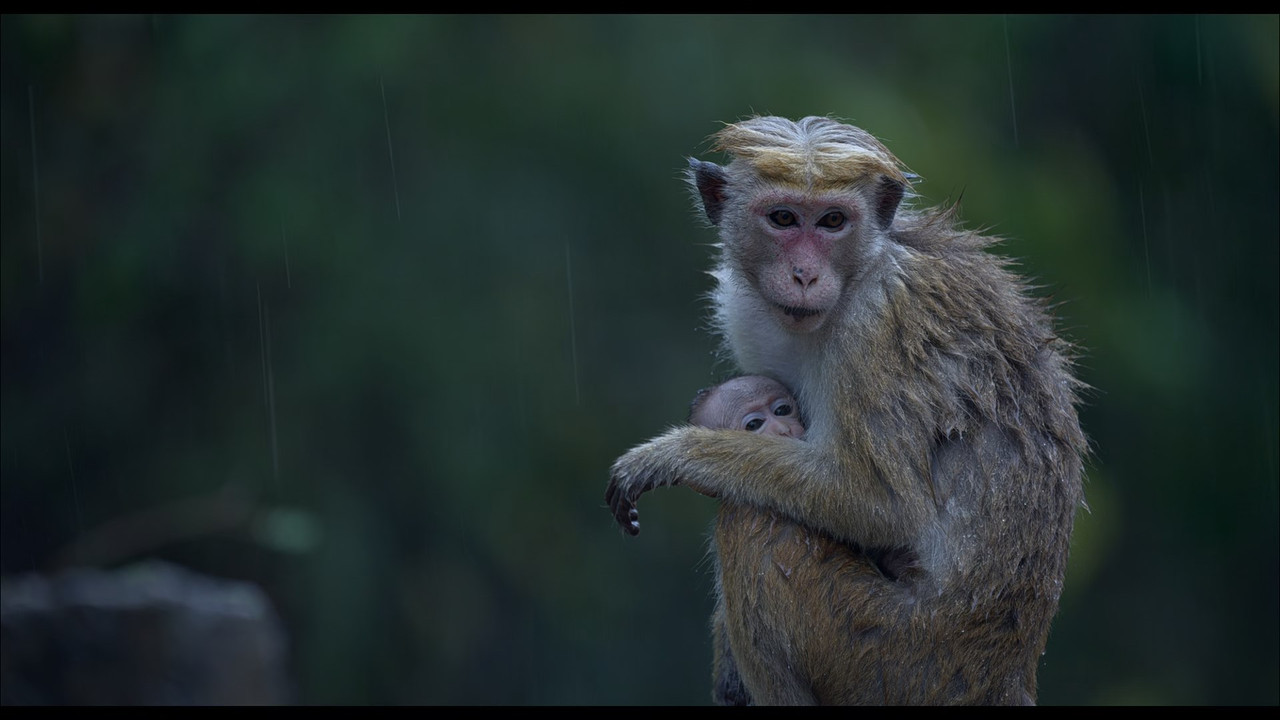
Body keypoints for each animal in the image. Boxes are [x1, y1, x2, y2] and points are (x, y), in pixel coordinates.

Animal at [605, 116, 1087, 705]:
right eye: (783, 218)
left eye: (833, 221)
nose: (805, 274)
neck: (859, 274)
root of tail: (1006, 673)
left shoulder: (876, 327)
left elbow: (880, 504)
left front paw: (672, 455)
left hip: (896, 658)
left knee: (753, 521)